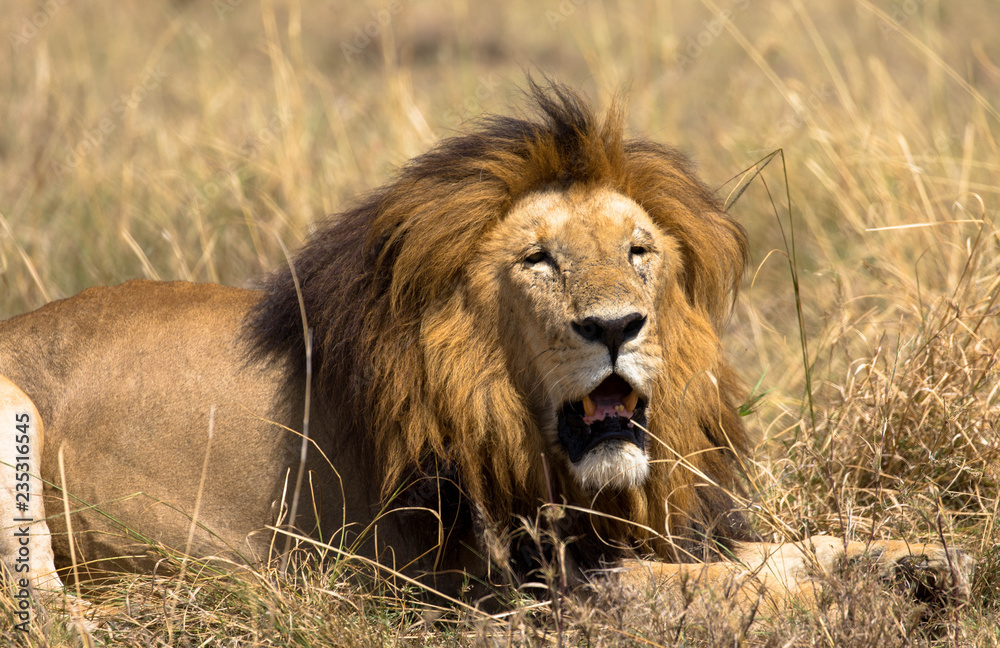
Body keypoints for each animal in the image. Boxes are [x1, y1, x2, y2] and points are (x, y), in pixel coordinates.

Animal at [0, 83, 972, 616]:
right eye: (539, 259)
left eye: (638, 251)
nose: (615, 328)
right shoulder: (490, 579)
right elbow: (707, 587)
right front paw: (857, 595)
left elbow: (776, 552)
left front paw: (919, 560)